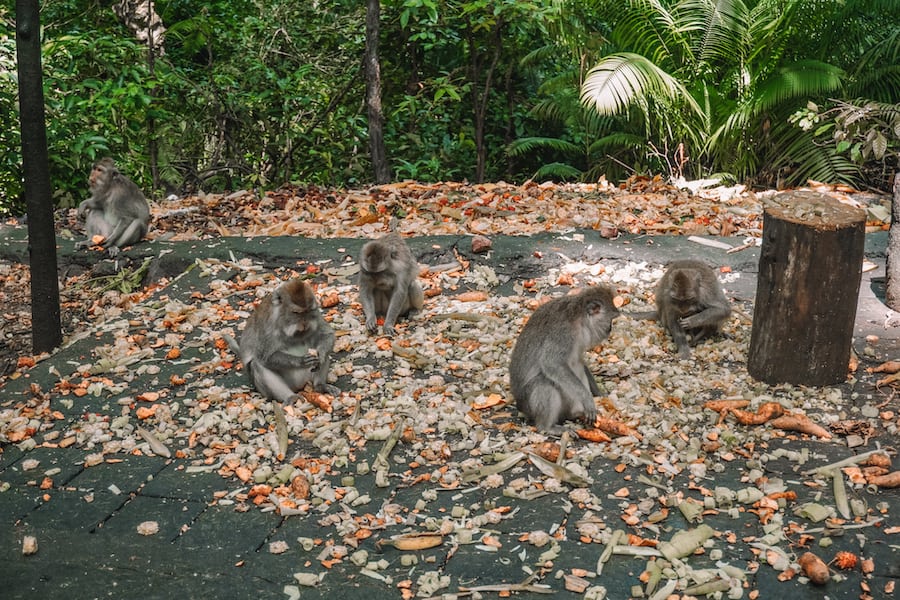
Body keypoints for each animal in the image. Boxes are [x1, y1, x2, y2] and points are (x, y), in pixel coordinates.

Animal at [506, 284, 620, 432]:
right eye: (610, 319)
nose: (610, 329)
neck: (579, 319)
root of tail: (520, 406)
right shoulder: (563, 333)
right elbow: (552, 364)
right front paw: (587, 399)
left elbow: (579, 360)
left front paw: (599, 393)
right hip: (528, 405)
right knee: (544, 383)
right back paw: (547, 427)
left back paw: (576, 413)